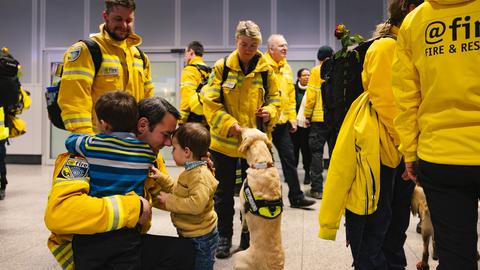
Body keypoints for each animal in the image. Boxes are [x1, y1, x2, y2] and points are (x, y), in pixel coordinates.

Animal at [232, 128, 284, 270]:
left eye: (246, 132)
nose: (241, 127)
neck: (263, 165)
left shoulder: (242, 204)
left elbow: (243, 217)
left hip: (238, 257)